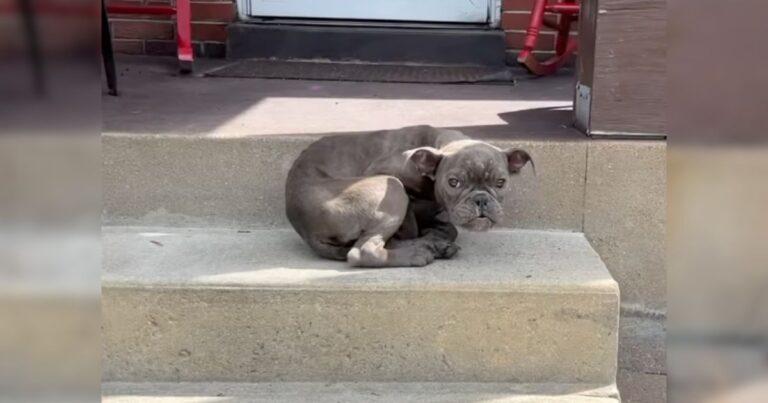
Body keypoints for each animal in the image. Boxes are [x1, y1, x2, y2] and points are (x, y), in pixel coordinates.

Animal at [284, 126, 532, 268]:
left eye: (501, 183)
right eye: (453, 182)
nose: (481, 200)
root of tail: (305, 228)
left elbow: (443, 225)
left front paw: (436, 233)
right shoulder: (383, 172)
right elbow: (413, 222)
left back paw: (432, 245)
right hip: (391, 188)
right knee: (362, 251)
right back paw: (417, 253)